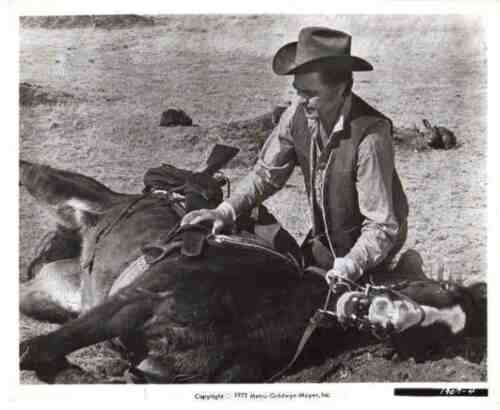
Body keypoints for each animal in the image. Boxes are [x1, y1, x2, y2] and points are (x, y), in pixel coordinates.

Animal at [19, 145, 486, 383]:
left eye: (433, 339)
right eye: (431, 290)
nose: (399, 316)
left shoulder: (175, 373)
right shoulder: (135, 300)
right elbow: (36, 350)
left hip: (51, 295)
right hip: (60, 189)